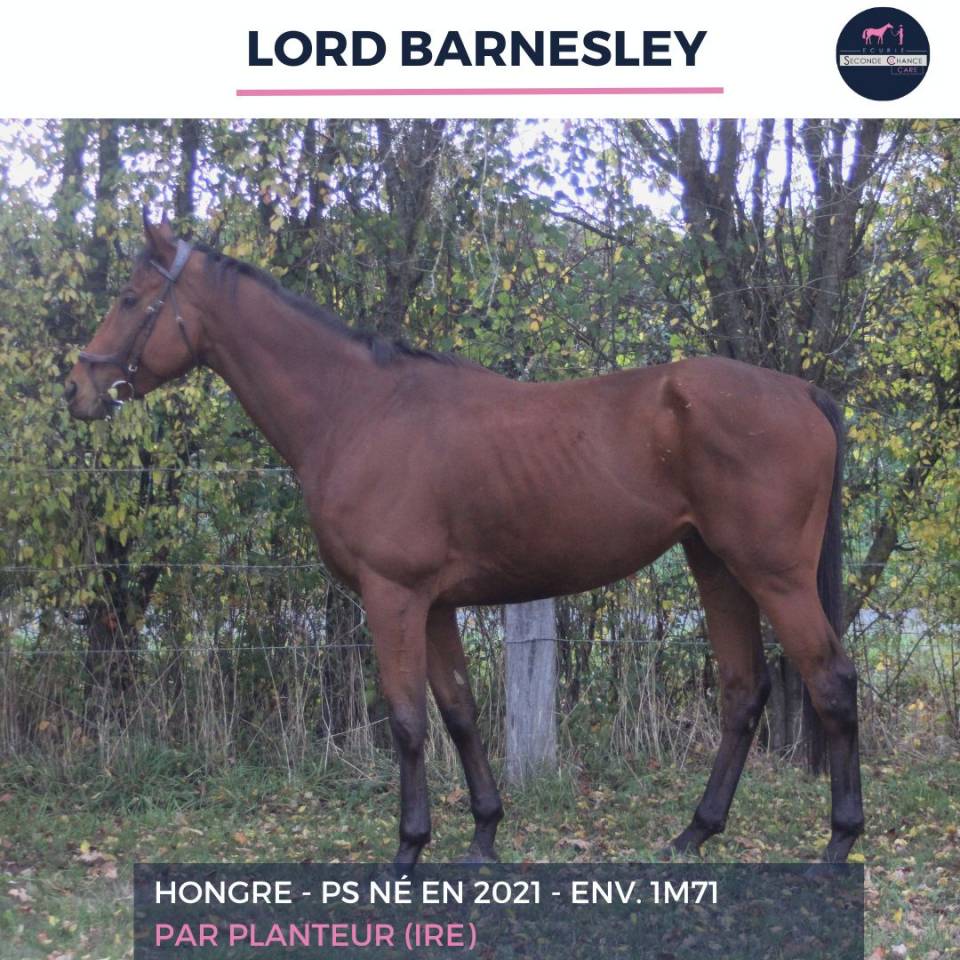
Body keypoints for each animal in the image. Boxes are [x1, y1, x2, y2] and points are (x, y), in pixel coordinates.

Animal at [64, 213, 864, 868]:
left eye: (131, 299)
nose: (77, 388)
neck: (357, 410)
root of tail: (800, 392)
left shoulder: (392, 596)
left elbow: (407, 721)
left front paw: (409, 848)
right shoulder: (437, 605)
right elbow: (459, 712)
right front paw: (483, 834)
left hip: (773, 572)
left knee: (831, 681)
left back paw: (839, 842)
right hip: (716, 564)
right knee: (743, 690)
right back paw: (695, 832)